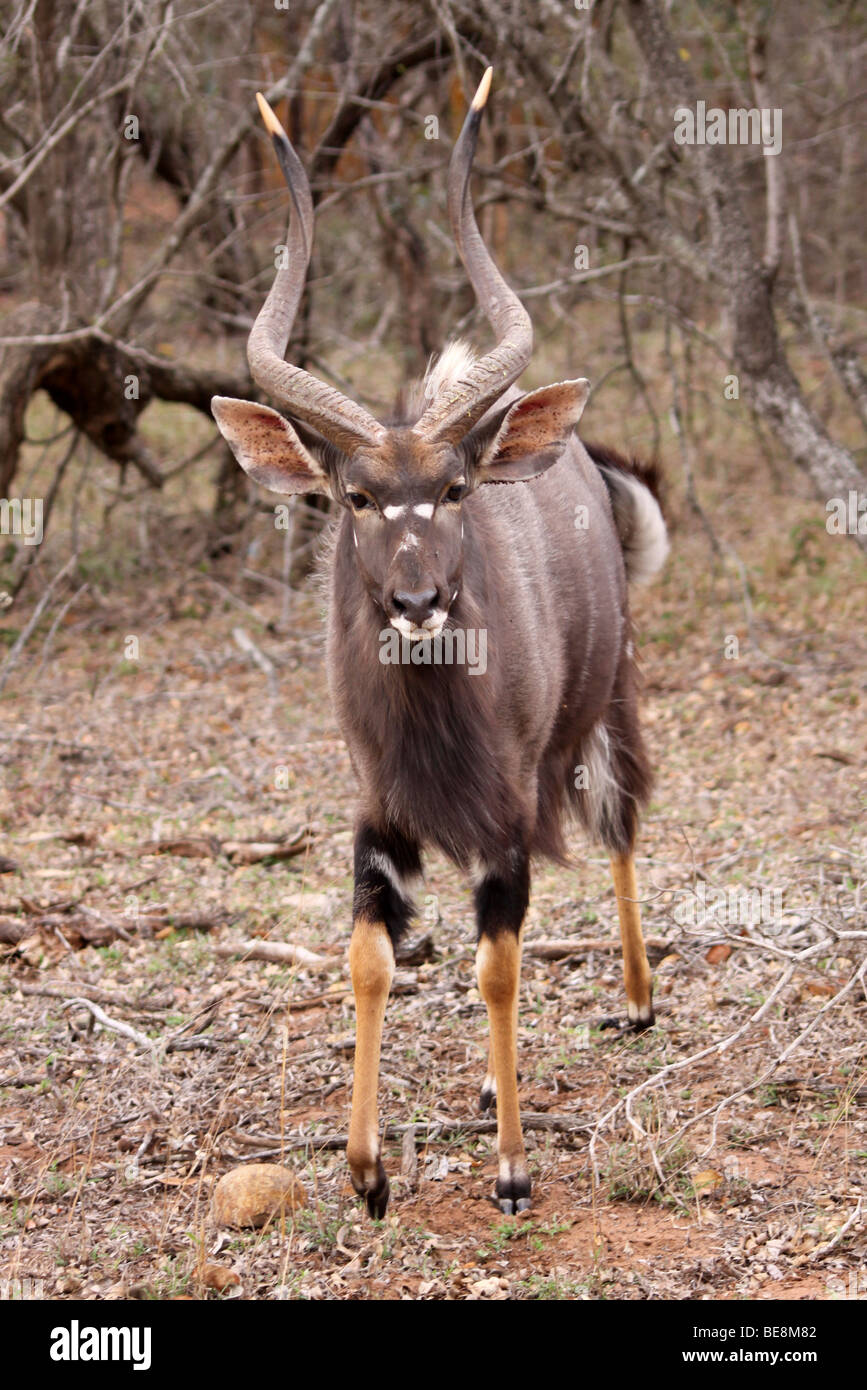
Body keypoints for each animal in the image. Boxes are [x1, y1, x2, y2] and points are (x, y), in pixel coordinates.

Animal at [211, 70, 669, 1212]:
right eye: (356, 496)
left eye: (454, 489)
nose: (419, 601)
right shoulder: (380, 815)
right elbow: (370, 959)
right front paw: (368, 1168)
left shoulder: (504, 820)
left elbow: (495, 966)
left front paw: (509, 1167)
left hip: (609, 702)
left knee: (620, 824)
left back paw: (637, 998)